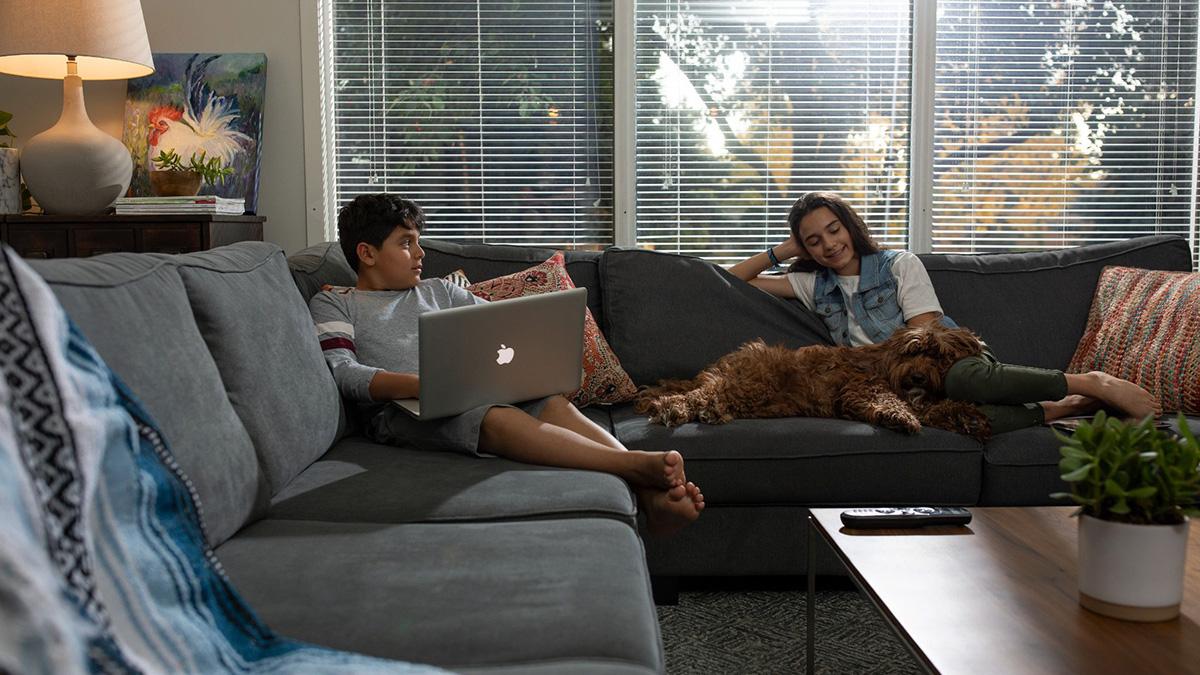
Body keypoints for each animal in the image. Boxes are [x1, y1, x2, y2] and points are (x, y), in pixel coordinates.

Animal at [633, 324, 988, 439]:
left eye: (938, 356)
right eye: (913, 351)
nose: (916, 376)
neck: (888, 363)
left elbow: (941, 408)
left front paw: (971, 418)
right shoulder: (860, 388)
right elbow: (886, 400)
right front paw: (898, 417)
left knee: (709, 396)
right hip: (754, 382)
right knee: (698, 395)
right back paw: (672, 409)